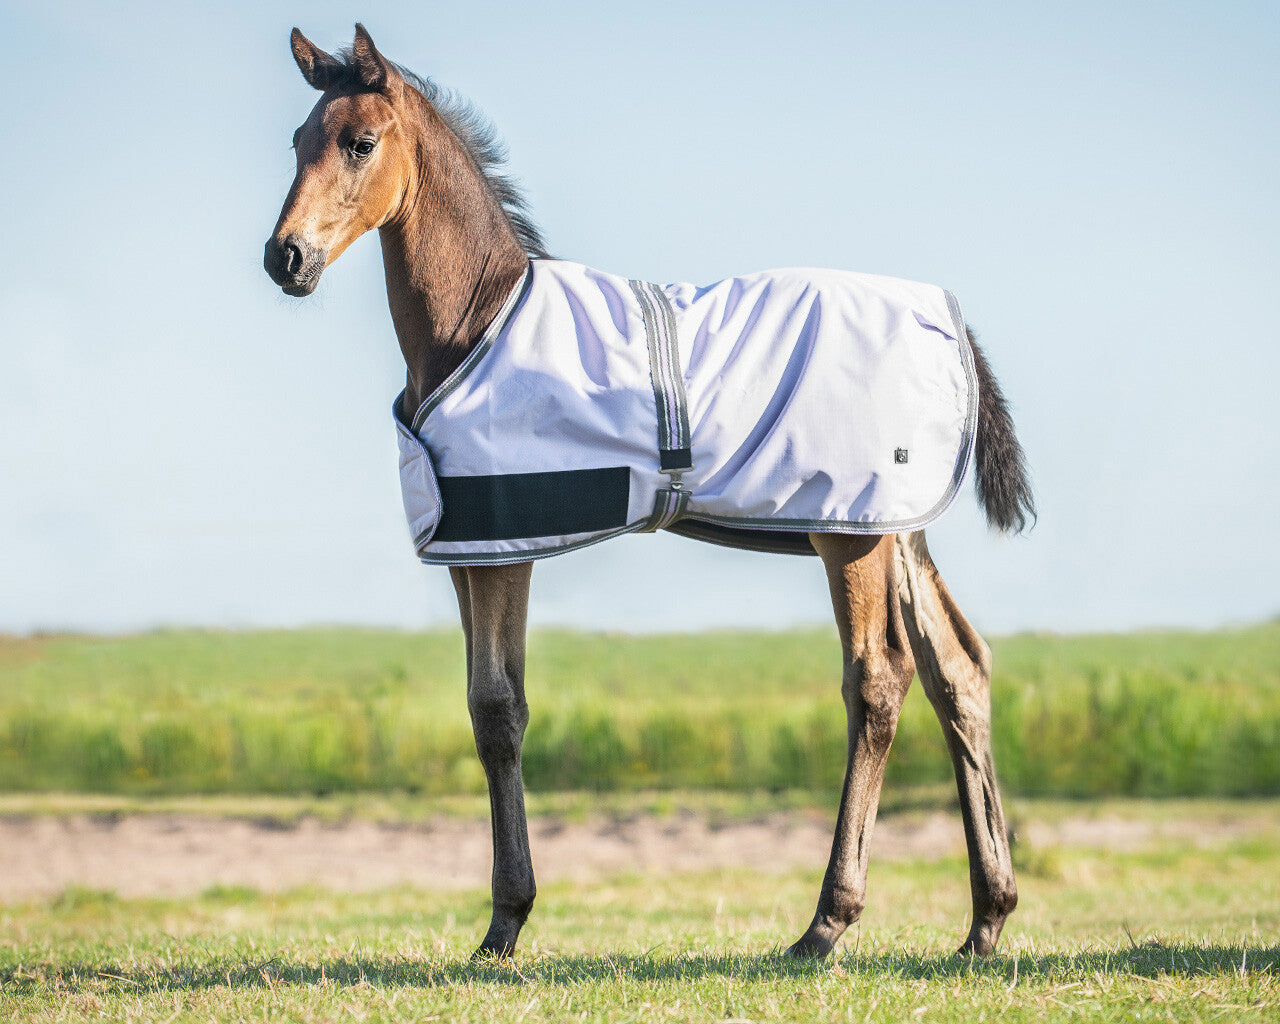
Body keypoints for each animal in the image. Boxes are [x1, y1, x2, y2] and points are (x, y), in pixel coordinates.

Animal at [264, 24, 1035, 961]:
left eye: (360, 142)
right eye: (297, 141)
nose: (285, 258)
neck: (475, 320)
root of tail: (945, 320)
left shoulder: (505, 548)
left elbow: (499, 709)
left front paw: (505, 922)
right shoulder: (470, 547)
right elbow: (488, 715)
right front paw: (503, 923)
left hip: (849, 536)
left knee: (879, 680)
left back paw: (826, 924)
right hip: (896, 526)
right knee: (959, 670)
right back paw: (986, 920)